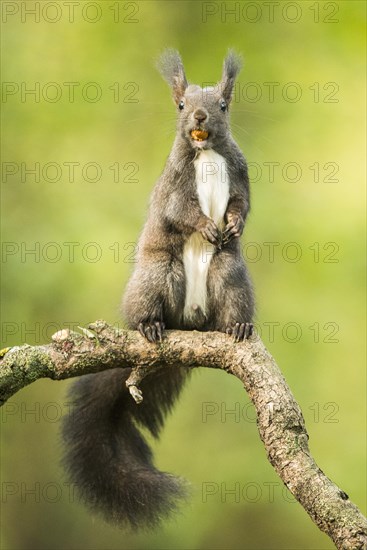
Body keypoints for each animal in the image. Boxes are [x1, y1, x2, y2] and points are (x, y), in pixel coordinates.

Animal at [61, 49, 254, 532]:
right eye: (181, 105)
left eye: (222, 105)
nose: (199, 117)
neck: (206, 155)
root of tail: (190, 323)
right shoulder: (173, 189)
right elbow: (181, 212)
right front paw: (207, 226)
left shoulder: (241, 176)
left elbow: (242, 204)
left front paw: (233, 225)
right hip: (159, 276)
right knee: (149, 310)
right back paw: (149, 327)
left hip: (228, 275)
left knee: (229, 300)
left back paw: (238, 327)